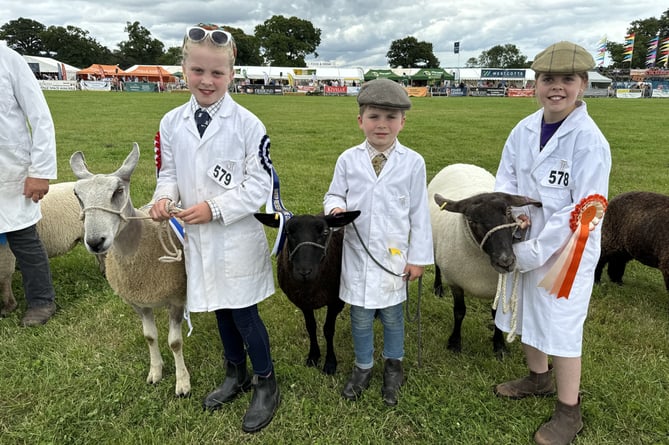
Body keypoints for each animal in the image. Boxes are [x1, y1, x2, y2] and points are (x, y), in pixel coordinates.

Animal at [69, 143, 189, 396]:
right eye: (77, 195)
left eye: (118, 191)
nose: (95, 242)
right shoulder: (138, 301)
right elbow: (150, 337)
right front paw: (156, 371)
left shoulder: (176, 298)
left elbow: (175, 343)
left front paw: (182, 382)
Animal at [428, 162, 544, 354]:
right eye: (472, 221)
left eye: (508, 211)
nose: (506, 262)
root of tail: (460, 163)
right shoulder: (455, 282)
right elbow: (459, 312)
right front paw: (454, 343)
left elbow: (496, 316)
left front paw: (499, 345)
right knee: (437, 266)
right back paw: (438, 288)